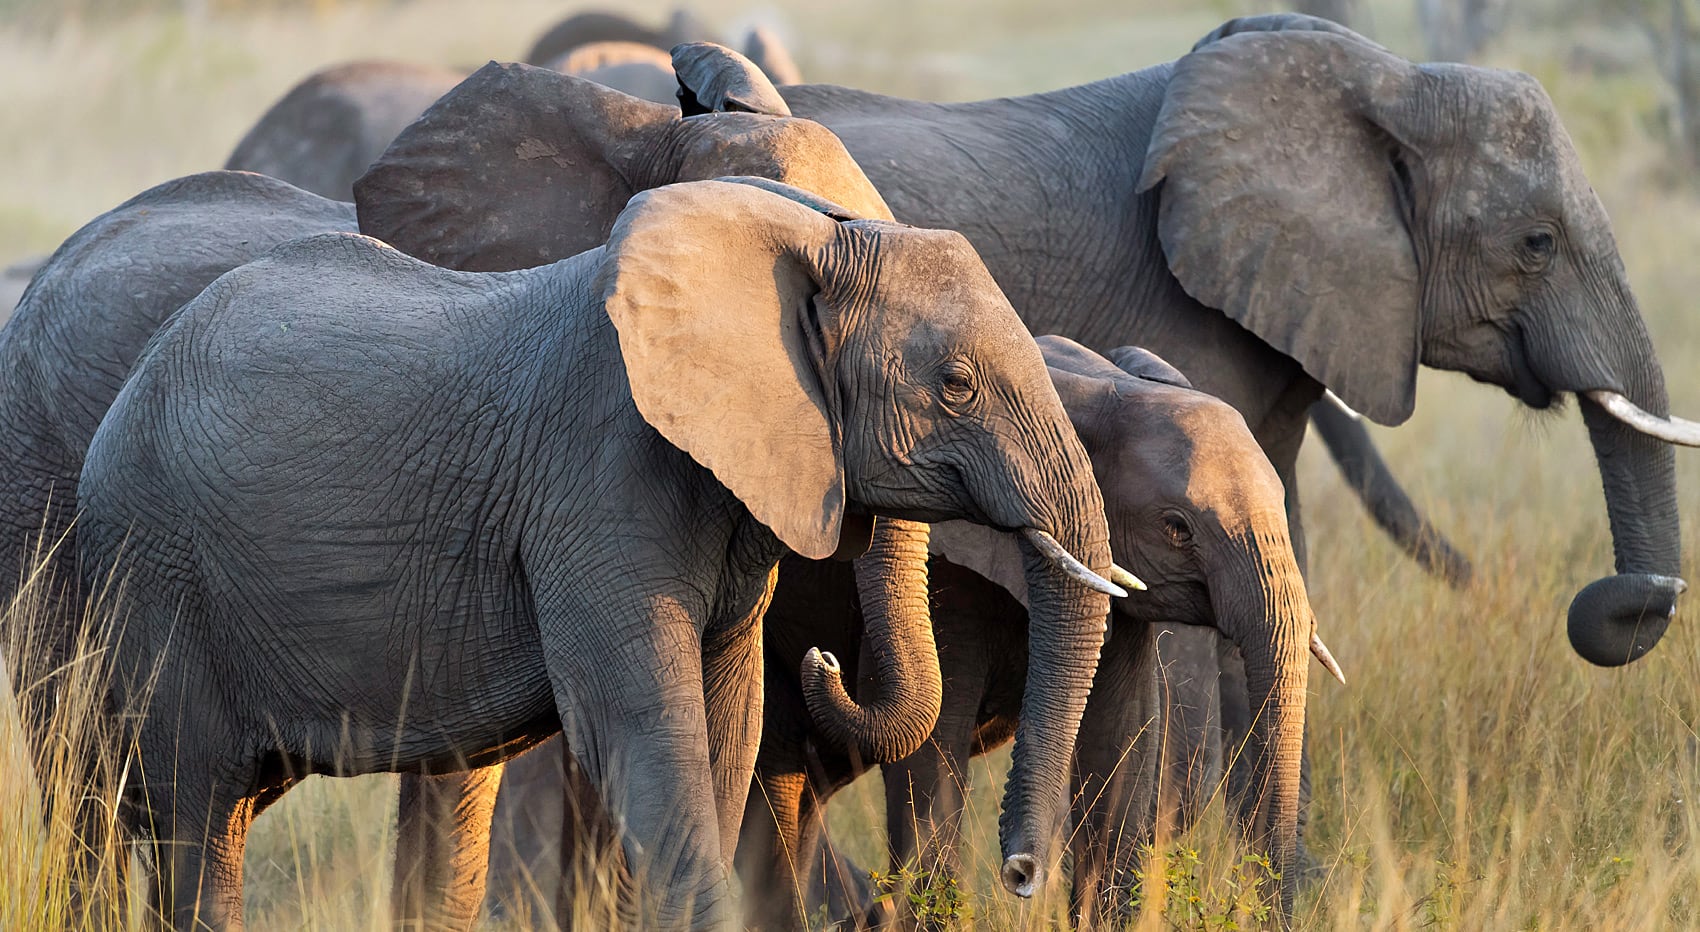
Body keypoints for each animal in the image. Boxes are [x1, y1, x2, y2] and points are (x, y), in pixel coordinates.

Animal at [75, 177, 1122, 931]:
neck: (796, 240)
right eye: (956, 384)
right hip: (156, 567)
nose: (1021, 872)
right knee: (199, 818)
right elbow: (643, 730)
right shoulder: (599, 482)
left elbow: (725, 727)